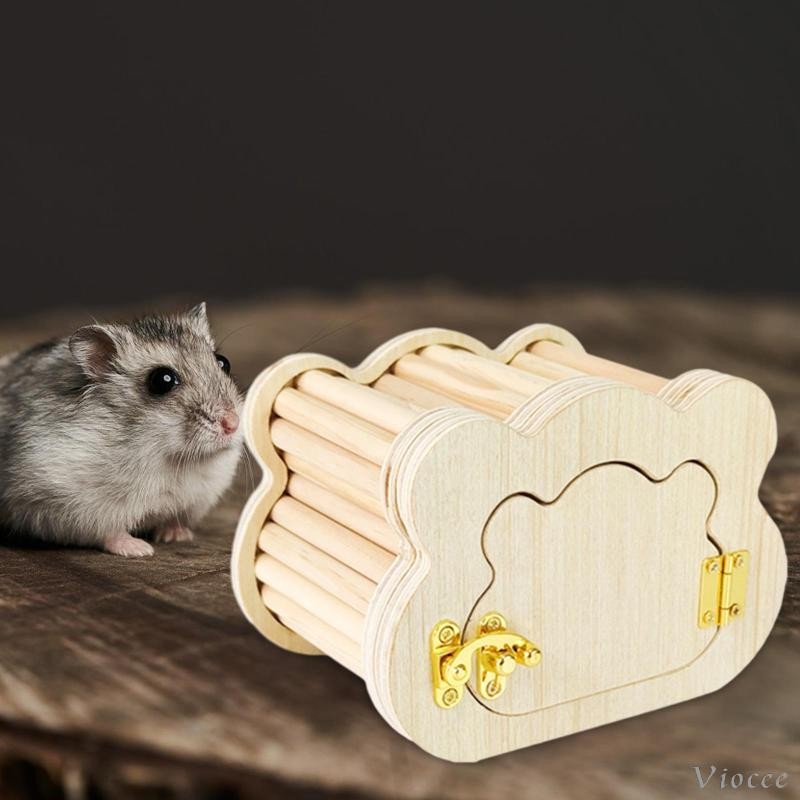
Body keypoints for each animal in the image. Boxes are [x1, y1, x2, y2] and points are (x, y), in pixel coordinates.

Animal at [0, 303, 242, 557]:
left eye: (223, 362)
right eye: (162, 380)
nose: (233, 423)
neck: (166, 455)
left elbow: (172, 519)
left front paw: (178, 535)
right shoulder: (62, 500)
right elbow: (109, 533)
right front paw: (140, 549)